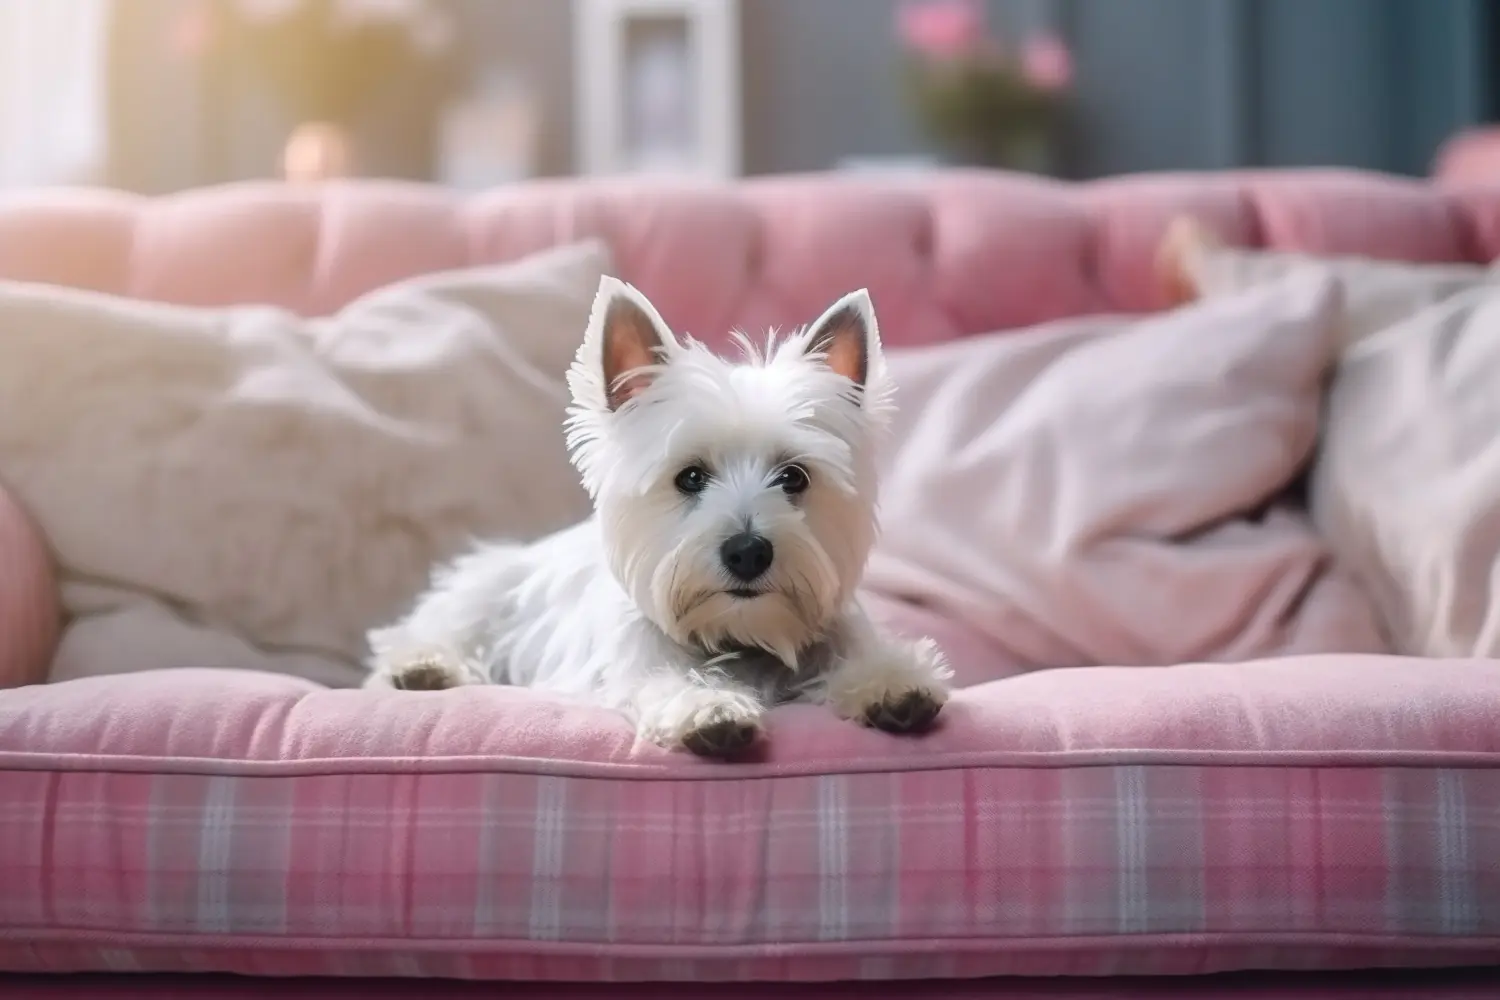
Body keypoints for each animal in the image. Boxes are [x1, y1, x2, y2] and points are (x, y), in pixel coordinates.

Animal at [363, 277, 948, 755]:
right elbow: (664, 683)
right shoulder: (634, 665)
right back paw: (423, 667)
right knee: (433, 627)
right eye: (689, 476)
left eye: (794, 477)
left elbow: (869, 660)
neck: (741, 634)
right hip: (488, 588)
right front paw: (709, 709)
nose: (748, 551)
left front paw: (894, 685)